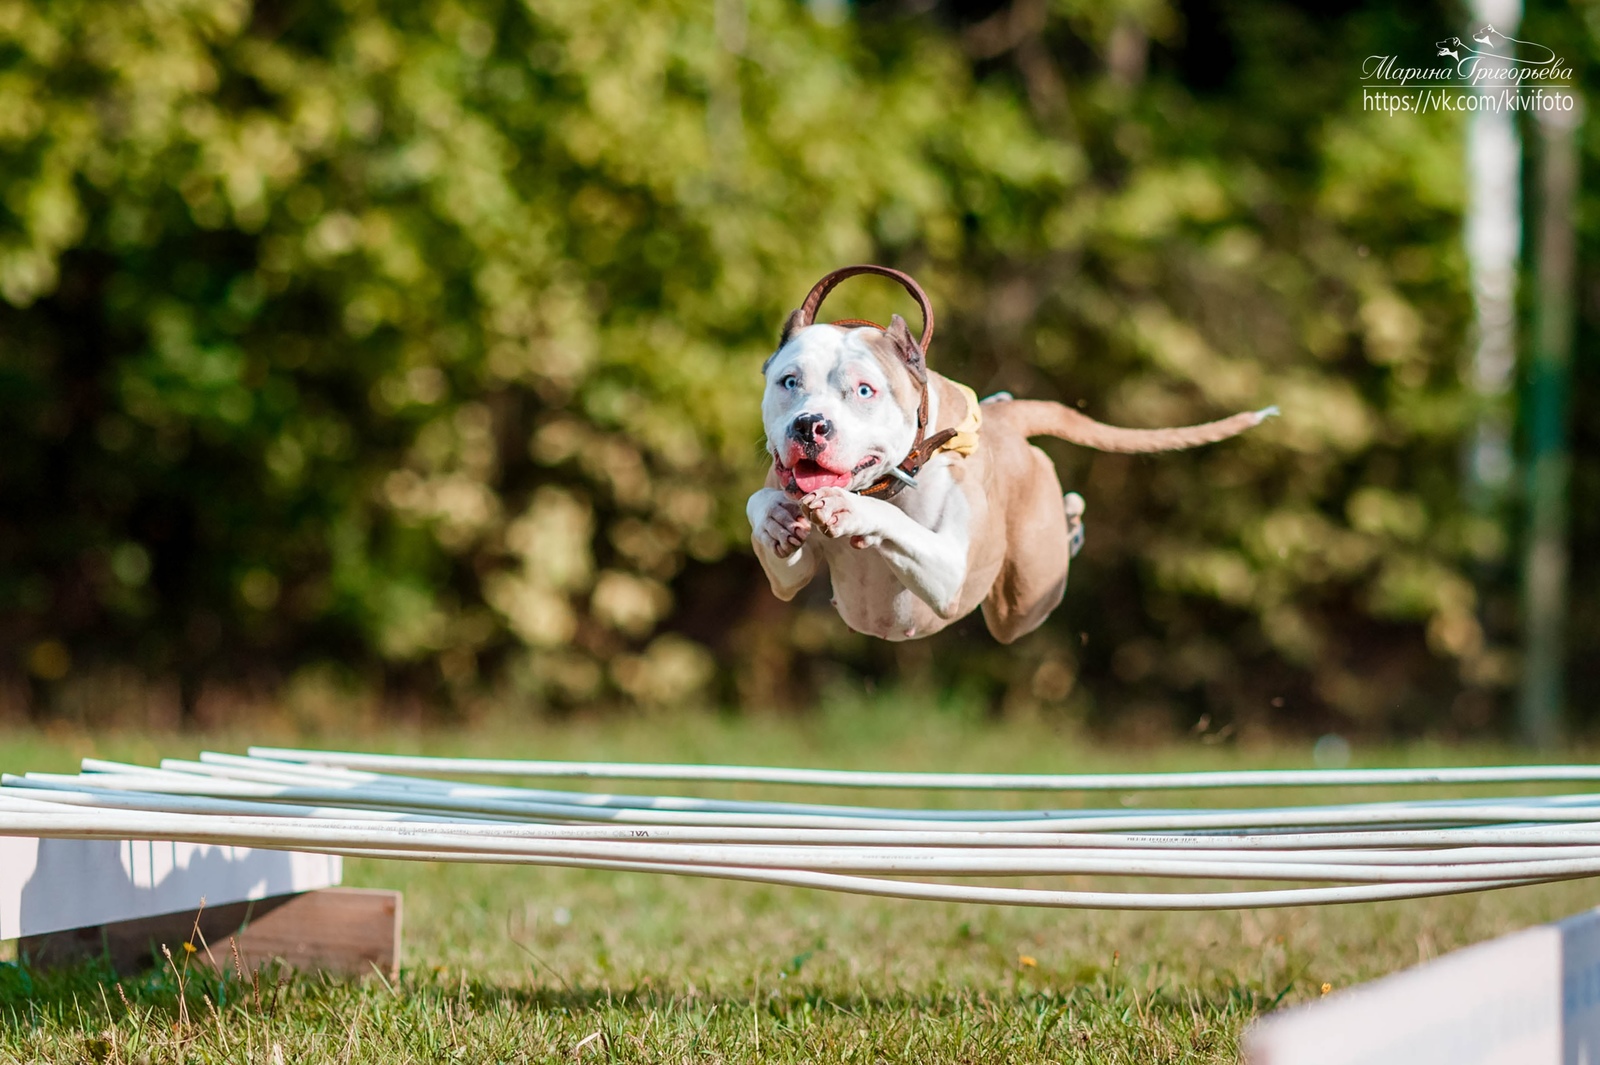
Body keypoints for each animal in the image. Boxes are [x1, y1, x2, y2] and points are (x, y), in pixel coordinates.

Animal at [748, 270, 1273, 642]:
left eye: (863, 390)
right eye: (789, 382)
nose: (809, 425)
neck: (884, 484)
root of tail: (1007, 419)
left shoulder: (952, 574)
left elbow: (893, 522)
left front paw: (852, 510)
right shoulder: (788, 578)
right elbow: (767, 521)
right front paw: (773, 517)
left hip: (1022, 600)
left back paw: (1071, 520)